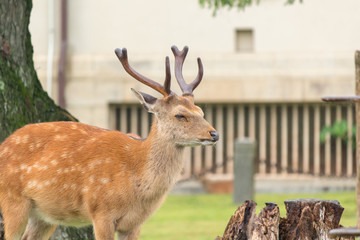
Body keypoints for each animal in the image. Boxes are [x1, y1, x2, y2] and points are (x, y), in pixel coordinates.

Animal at [0, 45, 219, 240]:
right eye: (180, 115)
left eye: (201, 111)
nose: (214, 134)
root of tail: (4, 143)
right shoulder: (101, 211)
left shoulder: (135, 224)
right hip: (12, 198)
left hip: (45, 215)